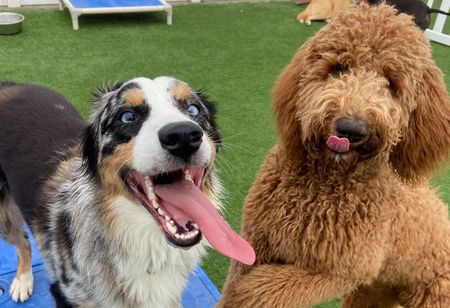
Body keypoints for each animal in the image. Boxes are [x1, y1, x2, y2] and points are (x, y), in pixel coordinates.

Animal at [220, 4, 450, 308]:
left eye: (391, 83)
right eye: (339, 67)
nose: (351, 128)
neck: (324, 183)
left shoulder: (339, 272)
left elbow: (257, 290)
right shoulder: (258, 240)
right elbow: (237, 285)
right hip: (371, 293)